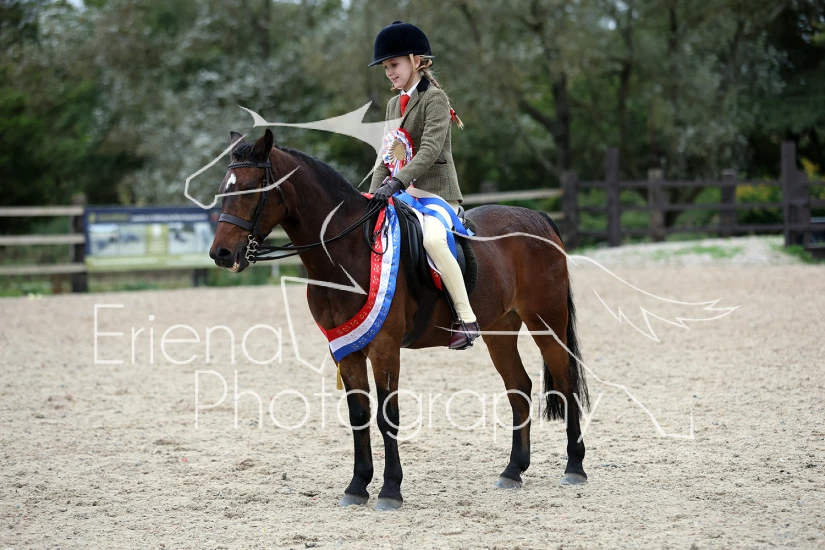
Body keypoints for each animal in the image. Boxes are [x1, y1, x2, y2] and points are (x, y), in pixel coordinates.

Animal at [209, 129, 589, 510]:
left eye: (251, 188)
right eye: (224, 189)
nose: (221, 254)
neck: (346, 250)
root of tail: (537, 217)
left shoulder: (385, 347)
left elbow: (386, 415)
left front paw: (390, 489)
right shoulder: (345, 348)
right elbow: (359, 415)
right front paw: (357, 486)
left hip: (547, 322)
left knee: (566, 381)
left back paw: (574, 466)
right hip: (500, 330)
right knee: (519, 387)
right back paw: (513, 470)